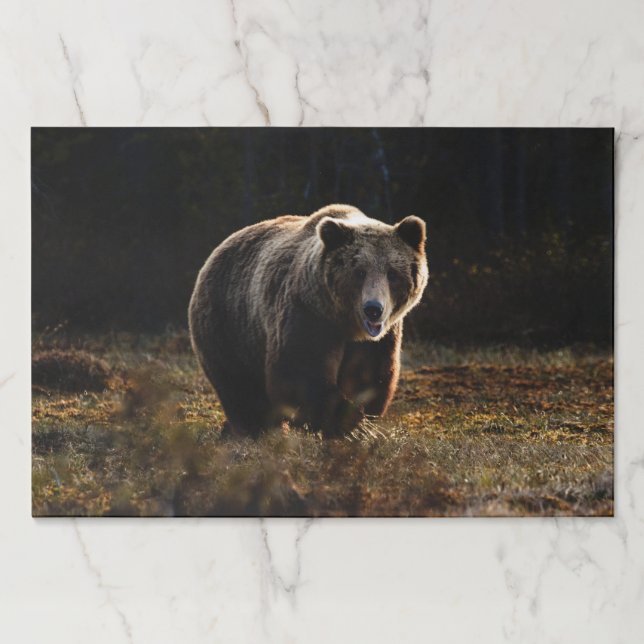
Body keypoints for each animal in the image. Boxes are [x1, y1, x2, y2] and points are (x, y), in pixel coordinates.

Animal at [188, 204, 428, 437]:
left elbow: (369, 375)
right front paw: (346, 422)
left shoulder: (379, 339)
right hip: (229, 324)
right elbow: (301, 371)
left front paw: (360, 420)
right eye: (359, 272)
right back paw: (254, 429)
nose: (373, 309)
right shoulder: (308, 314)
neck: (345, 323)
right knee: (240, 386)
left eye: (392, 273)